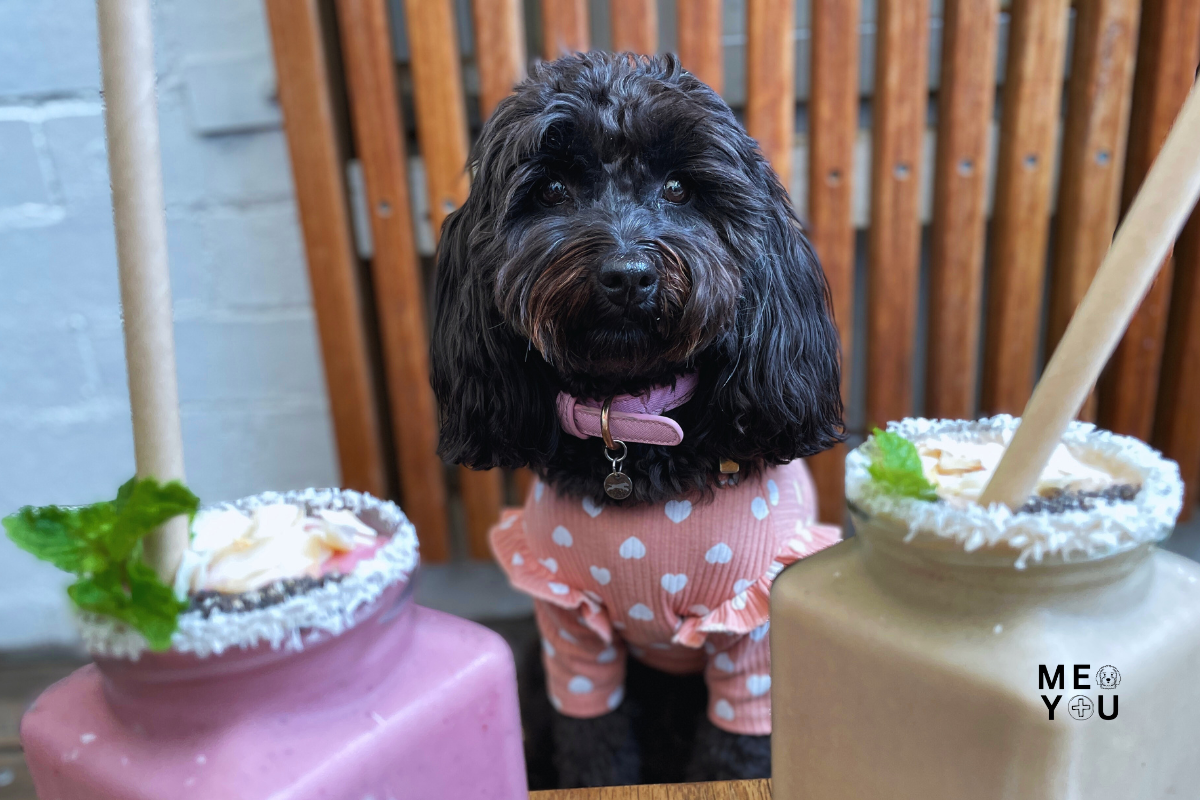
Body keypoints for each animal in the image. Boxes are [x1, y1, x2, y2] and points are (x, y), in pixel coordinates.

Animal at [432, 54, 844, 786]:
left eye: (679, 188)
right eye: (553, 188)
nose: (627, 274)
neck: (629, 424)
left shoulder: (749, 633)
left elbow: (735, 751)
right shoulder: (571, 625)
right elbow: (593, 742)